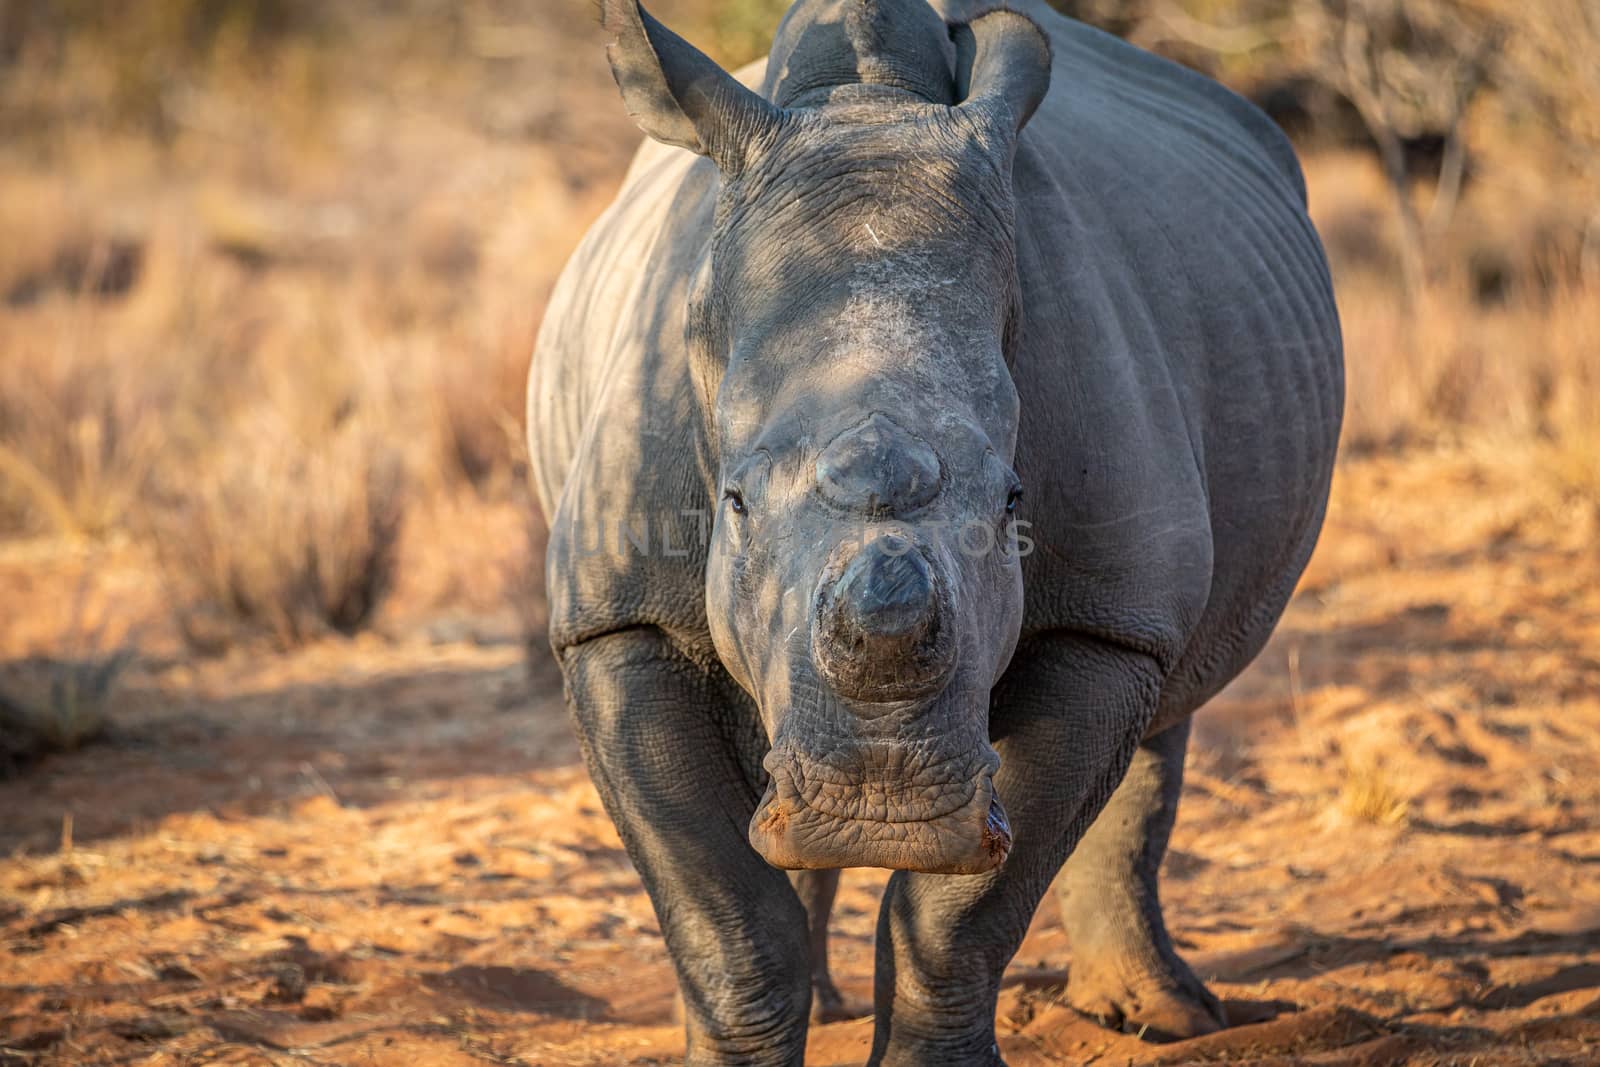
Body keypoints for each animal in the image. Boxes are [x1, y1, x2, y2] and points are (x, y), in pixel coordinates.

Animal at [531, 2, 1344, 1062]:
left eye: (1012, 502)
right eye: (734, 503)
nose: (882, 806)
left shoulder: (1104, 619)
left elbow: (960, 916)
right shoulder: (614, 616)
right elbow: (726, 915)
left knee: (1165, 707)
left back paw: (1163, 1016)